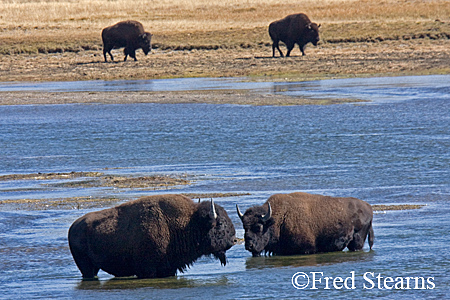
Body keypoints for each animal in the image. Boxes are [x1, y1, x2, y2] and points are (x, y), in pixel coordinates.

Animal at [68, 195, 237, 278]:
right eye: (220, 223)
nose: (234, 240)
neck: (188, 222)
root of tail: (72, 228)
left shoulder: (169, 268)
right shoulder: (147, 270)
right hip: (86, 267)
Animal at [237, 193, 374, 256]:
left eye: (258, 227)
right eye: (244, 227)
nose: (249, 246)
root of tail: (368, 207)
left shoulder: (306, 249)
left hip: (357, 241)